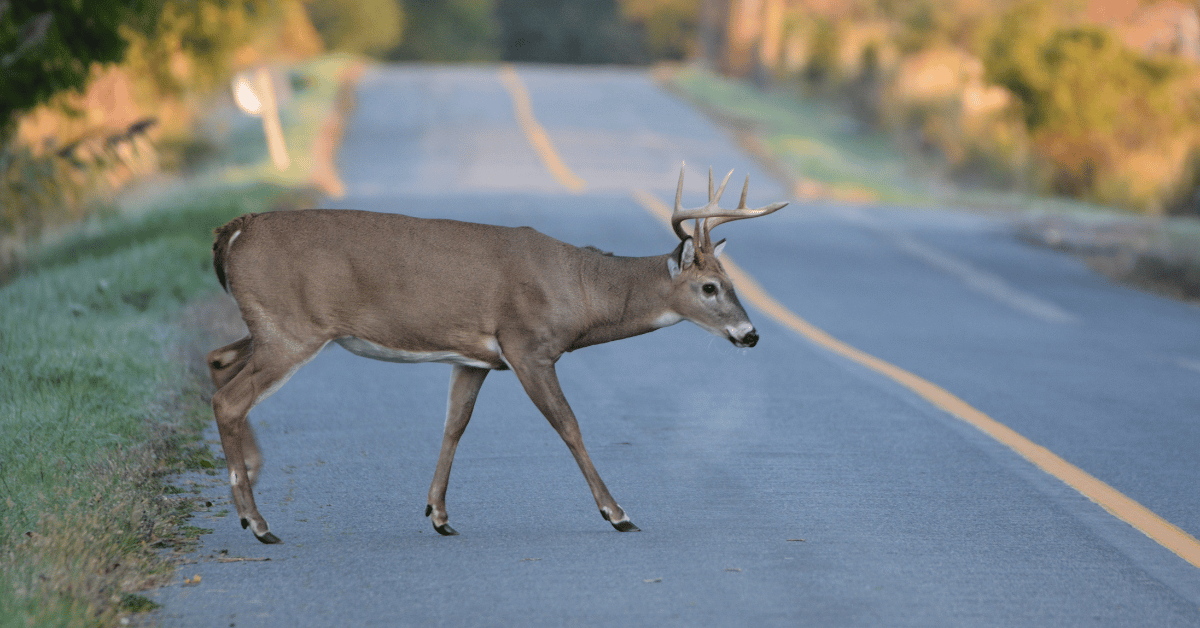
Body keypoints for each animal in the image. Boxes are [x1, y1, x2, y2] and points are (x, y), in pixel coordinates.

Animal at [206, 165, 787, 544]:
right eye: (710, 287)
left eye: (732, 282)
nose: (751, 334)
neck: (579, 293)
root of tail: (233, 231)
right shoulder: (527, 346)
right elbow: (569, 426)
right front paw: (617, 513)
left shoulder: (474, 358)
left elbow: (454, 426)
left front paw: (439, 515)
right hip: (292, 330)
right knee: (230, 399)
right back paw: (258, 524)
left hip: (269, 328)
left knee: (216, 362)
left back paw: (251, 483)